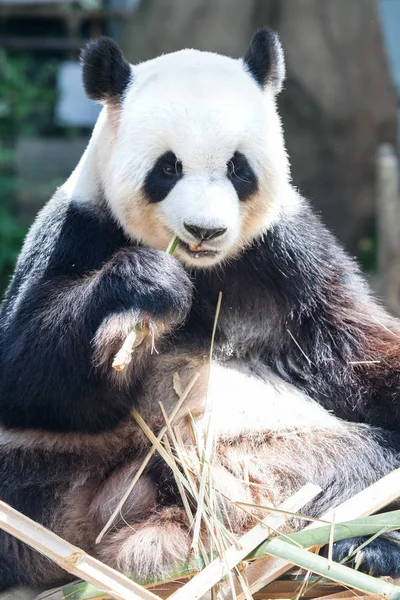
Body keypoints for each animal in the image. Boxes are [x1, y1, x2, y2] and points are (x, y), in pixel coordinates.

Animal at [0, 28, 400, 592]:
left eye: (237, 167)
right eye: (168, 167)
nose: (204, 231)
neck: (203, 269)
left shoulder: (288, 255)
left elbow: (353, 351)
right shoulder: (76, 231)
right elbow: (26, 374)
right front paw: (147, 285)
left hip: (285, 458)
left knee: (360, 469)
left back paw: (364, 551)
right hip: (50, 468)